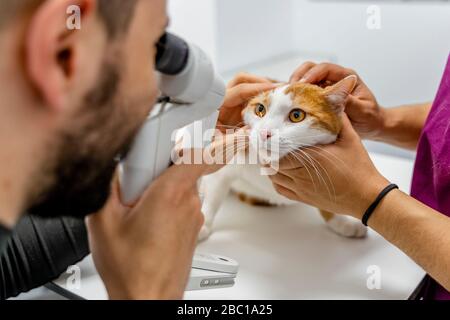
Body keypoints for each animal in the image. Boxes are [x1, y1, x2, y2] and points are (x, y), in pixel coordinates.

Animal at [199, 75, 368, 240]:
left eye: (297, 115)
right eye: (260, 109)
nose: (264, 133)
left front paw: (340, 220)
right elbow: (213, 194)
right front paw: (202, 222)